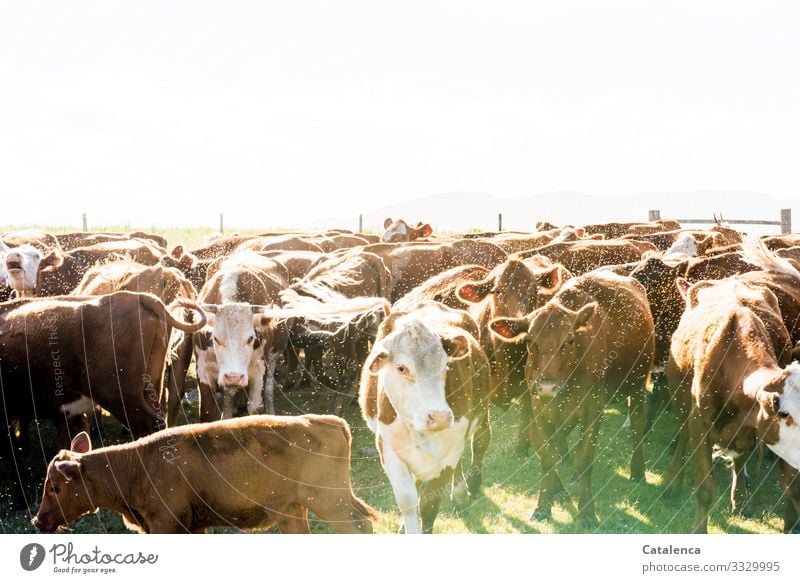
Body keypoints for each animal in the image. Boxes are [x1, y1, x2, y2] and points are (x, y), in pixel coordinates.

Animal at [32, 418, 376, 536]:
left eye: (56, 487)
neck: (136, 467)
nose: (39, 520)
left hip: (330, 502)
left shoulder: (167, 526)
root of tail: (326, 421)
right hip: (293, 512)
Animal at [360, 302, 490, 532]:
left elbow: (429, 503)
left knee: (480, 443)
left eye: (446, 366)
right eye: (401, 368)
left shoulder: (451, 448)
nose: (439, 416)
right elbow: (407, 500)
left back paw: (463, 492)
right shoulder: (388, 448)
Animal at [490, 272, 652, 528]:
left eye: (569, 341)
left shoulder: (594, 408)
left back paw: (637, 470)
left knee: (637, 425)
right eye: (530, 342)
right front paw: (545, 504)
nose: (547, 387)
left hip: (637, 384)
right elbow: (547, 456)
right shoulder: (539, 408)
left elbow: (584, 458)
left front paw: (586, 511)